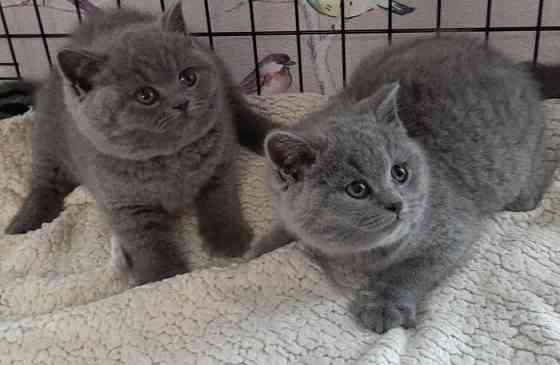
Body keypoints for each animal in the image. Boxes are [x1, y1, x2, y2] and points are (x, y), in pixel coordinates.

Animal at [4, 0, 274, 284]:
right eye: (146, 96)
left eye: (188, 77)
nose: (182, 102)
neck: (172, 160)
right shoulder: (124, 203)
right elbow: (147, 241)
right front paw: (162, 276)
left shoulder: (219, 165)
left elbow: (220, 200)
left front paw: (228, 239)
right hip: (48, 140)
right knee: (44, 185)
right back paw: (23, 225)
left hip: (223, 83)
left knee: (242, 114)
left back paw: (271, 134)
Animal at [250, 37, 548, 332]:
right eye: (357, 189)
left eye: (399, 172)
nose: (397, 204)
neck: (354, 252)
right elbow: (285, 228)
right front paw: (258, 248)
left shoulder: (452, 227)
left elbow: (409, 269)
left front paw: (383, 304)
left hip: (522, 158)